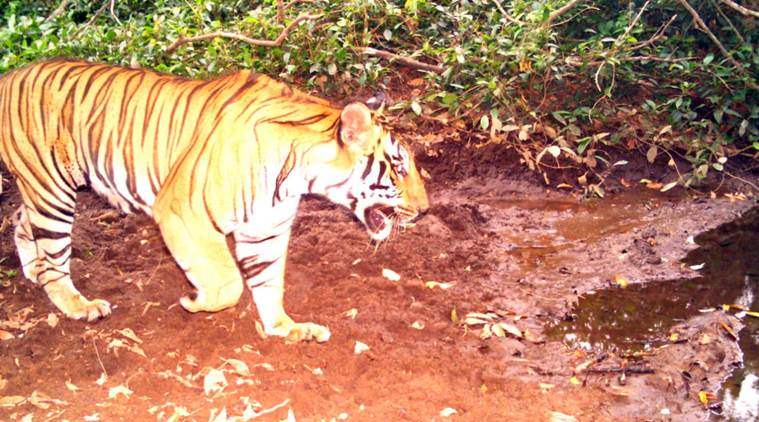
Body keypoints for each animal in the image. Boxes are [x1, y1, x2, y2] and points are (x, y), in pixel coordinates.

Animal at [0, 59, 428, 342]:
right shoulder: (181, 212)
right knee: (54, 256)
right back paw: (78, 305)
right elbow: (229, 282)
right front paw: (195, 301)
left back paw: (34, 270)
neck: (299, 173)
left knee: (21, 220)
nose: (425, 210)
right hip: (52, 189)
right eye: (398, 167)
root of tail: (11, 75)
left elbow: (269, 282)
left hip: (46, 187)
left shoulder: (265, 228)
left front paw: (285, 328)